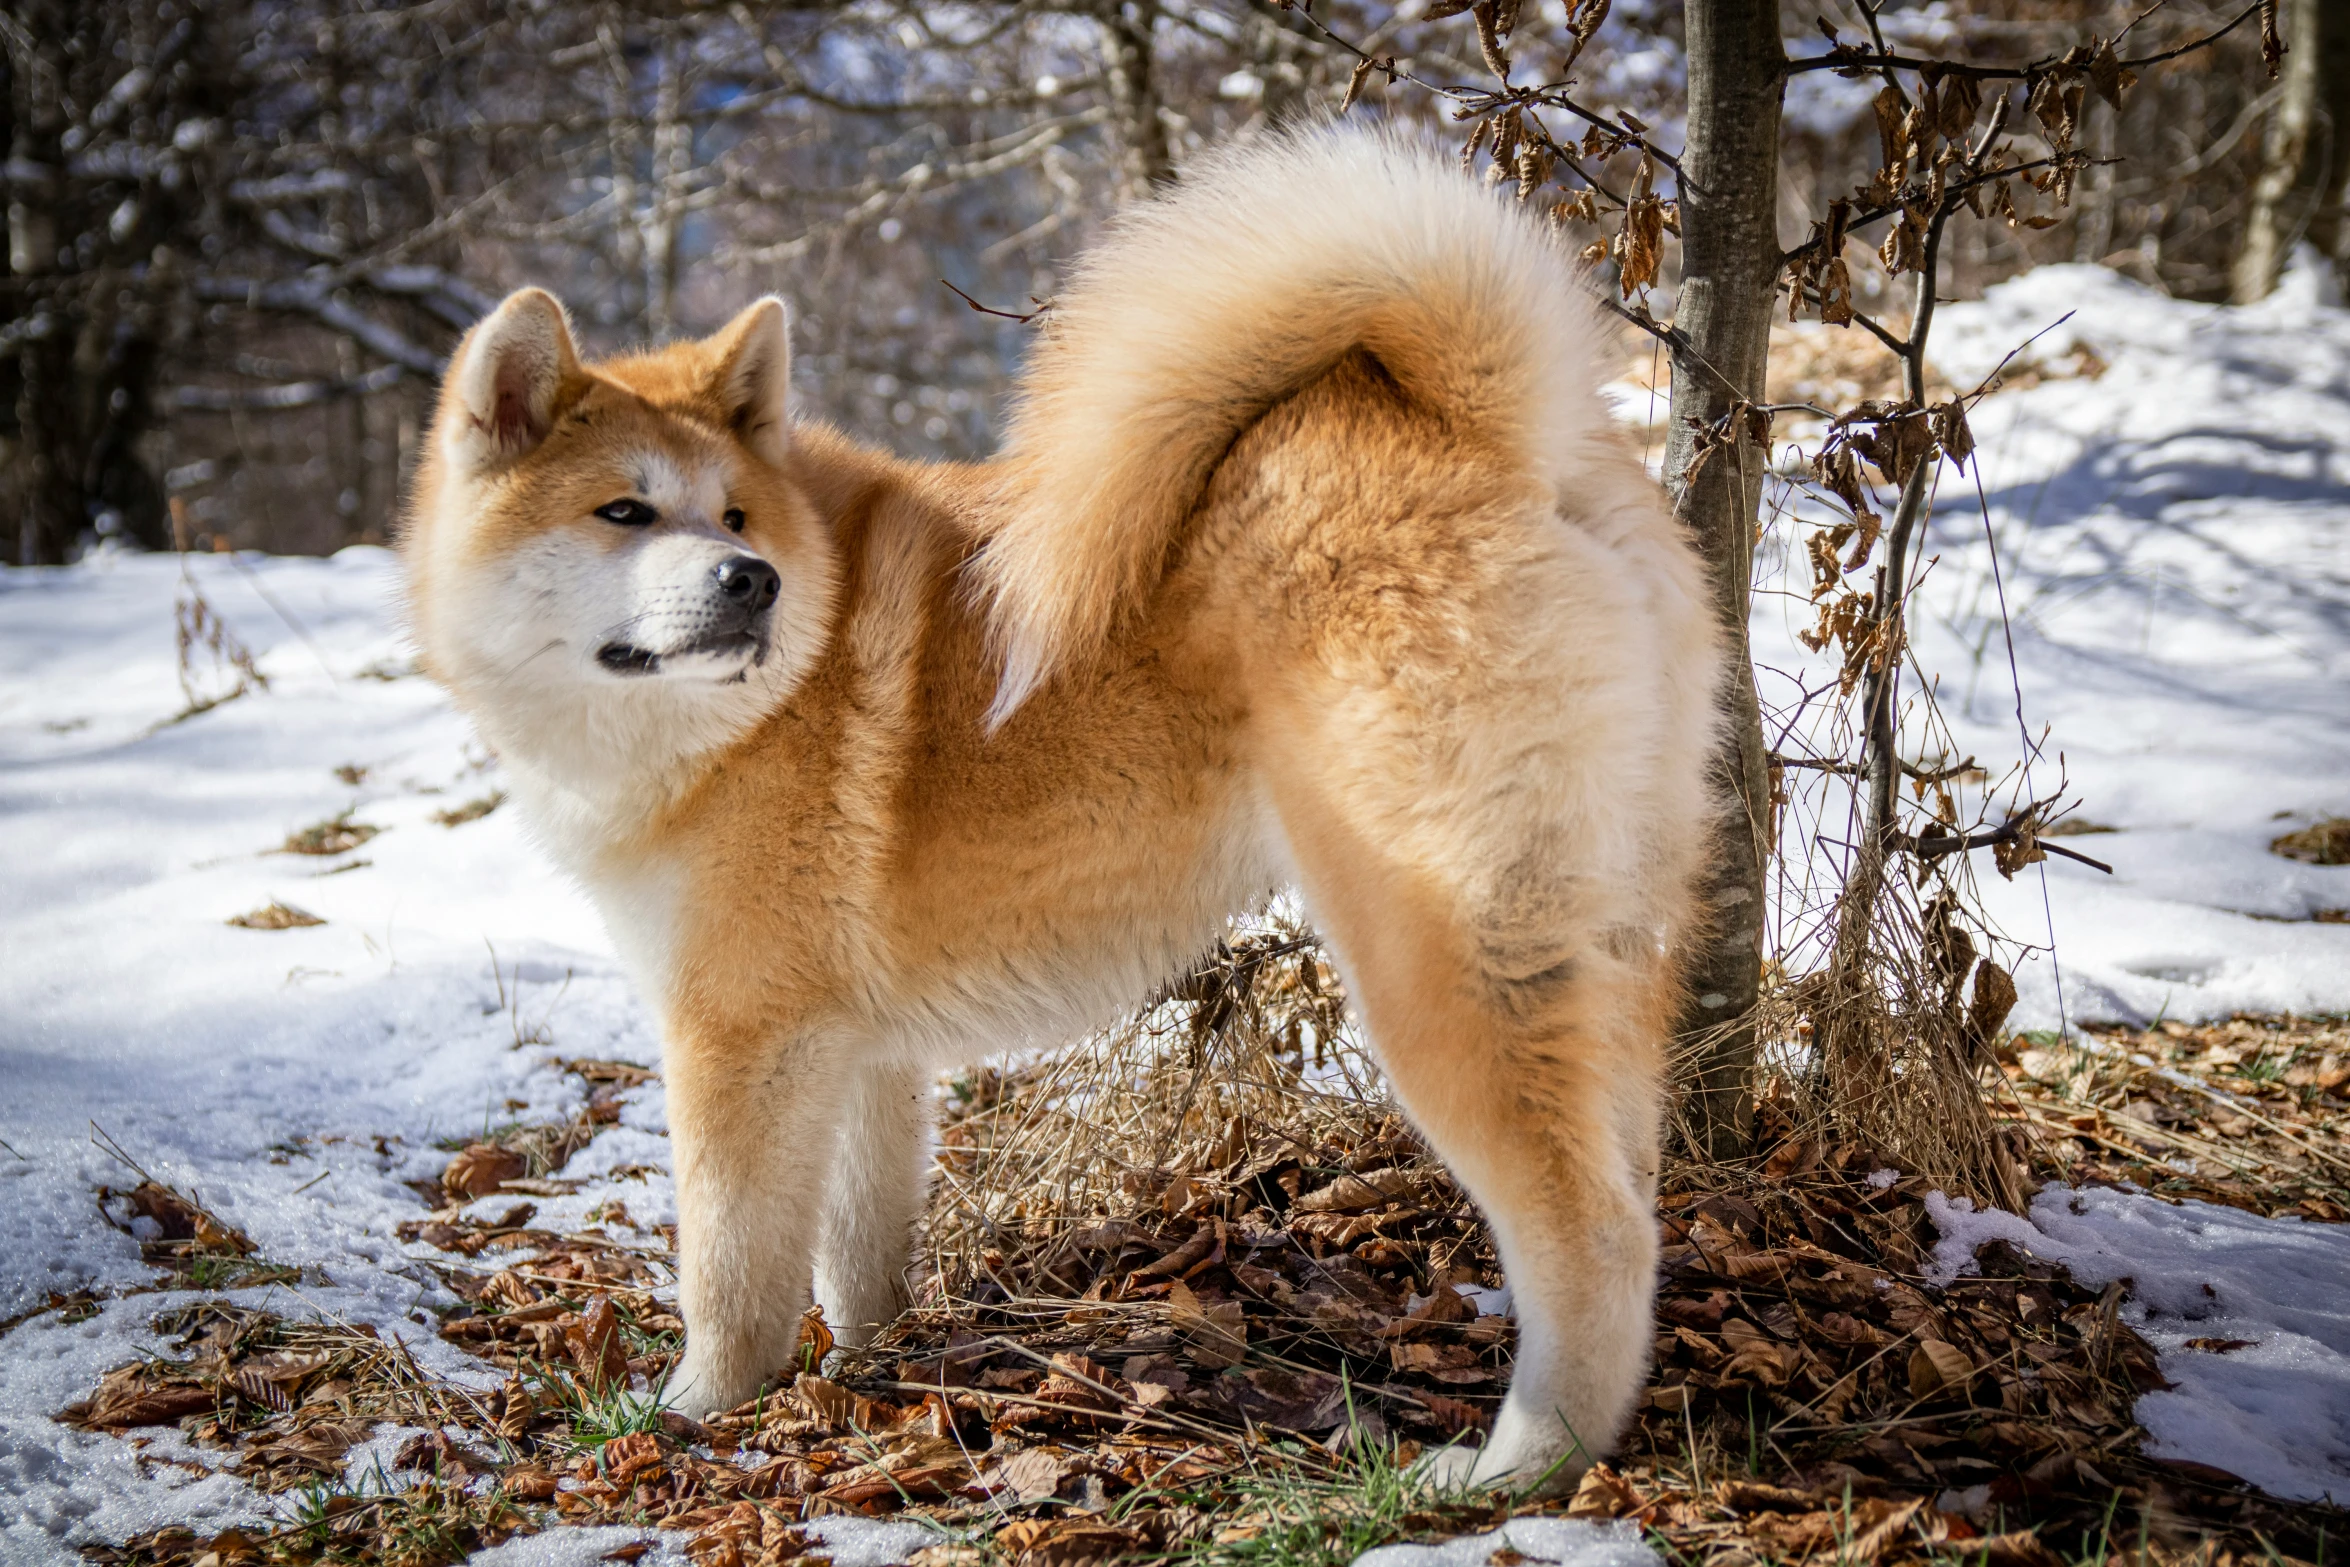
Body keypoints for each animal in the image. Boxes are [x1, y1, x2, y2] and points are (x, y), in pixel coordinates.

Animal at [399, 128, 1729, 1494]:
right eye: (623, 510)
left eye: (729, 515)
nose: (748, 580)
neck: (753, 708)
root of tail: (1496, 435)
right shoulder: (855, 1051)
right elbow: (856, 1251)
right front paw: (869, 1373)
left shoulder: (737, 1039)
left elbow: (729, 1272)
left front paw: (694, 1412)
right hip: (1608, 936)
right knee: (1632, 1174)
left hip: (1435, 958)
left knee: (1591, 1231)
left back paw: (1520, 1464)